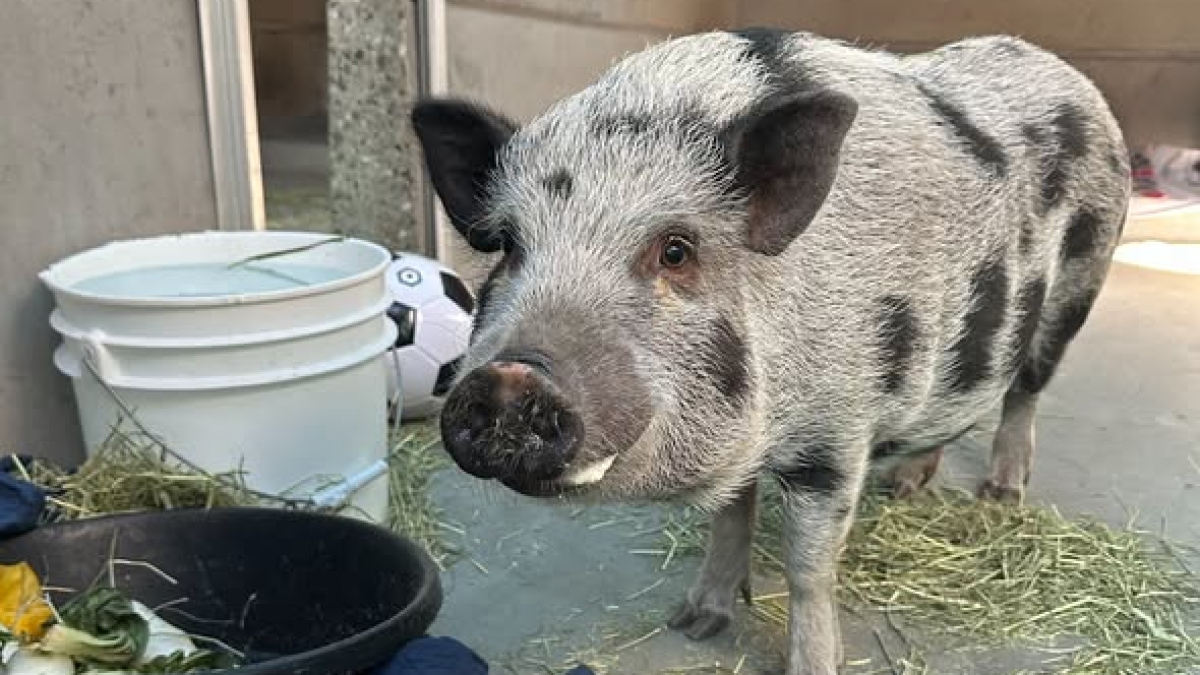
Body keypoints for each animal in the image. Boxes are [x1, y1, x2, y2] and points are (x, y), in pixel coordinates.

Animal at [410, 28, 1130, 675]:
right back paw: (906, 486)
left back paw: (1000, 495)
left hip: (1079, 285)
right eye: (508, 245)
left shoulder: (836, 439)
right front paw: (693, 622)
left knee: (1025, 389)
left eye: (676, 250)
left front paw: (813, 663)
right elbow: (730, 519)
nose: (510, 377)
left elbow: (809, 569)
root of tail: (1067, 73)